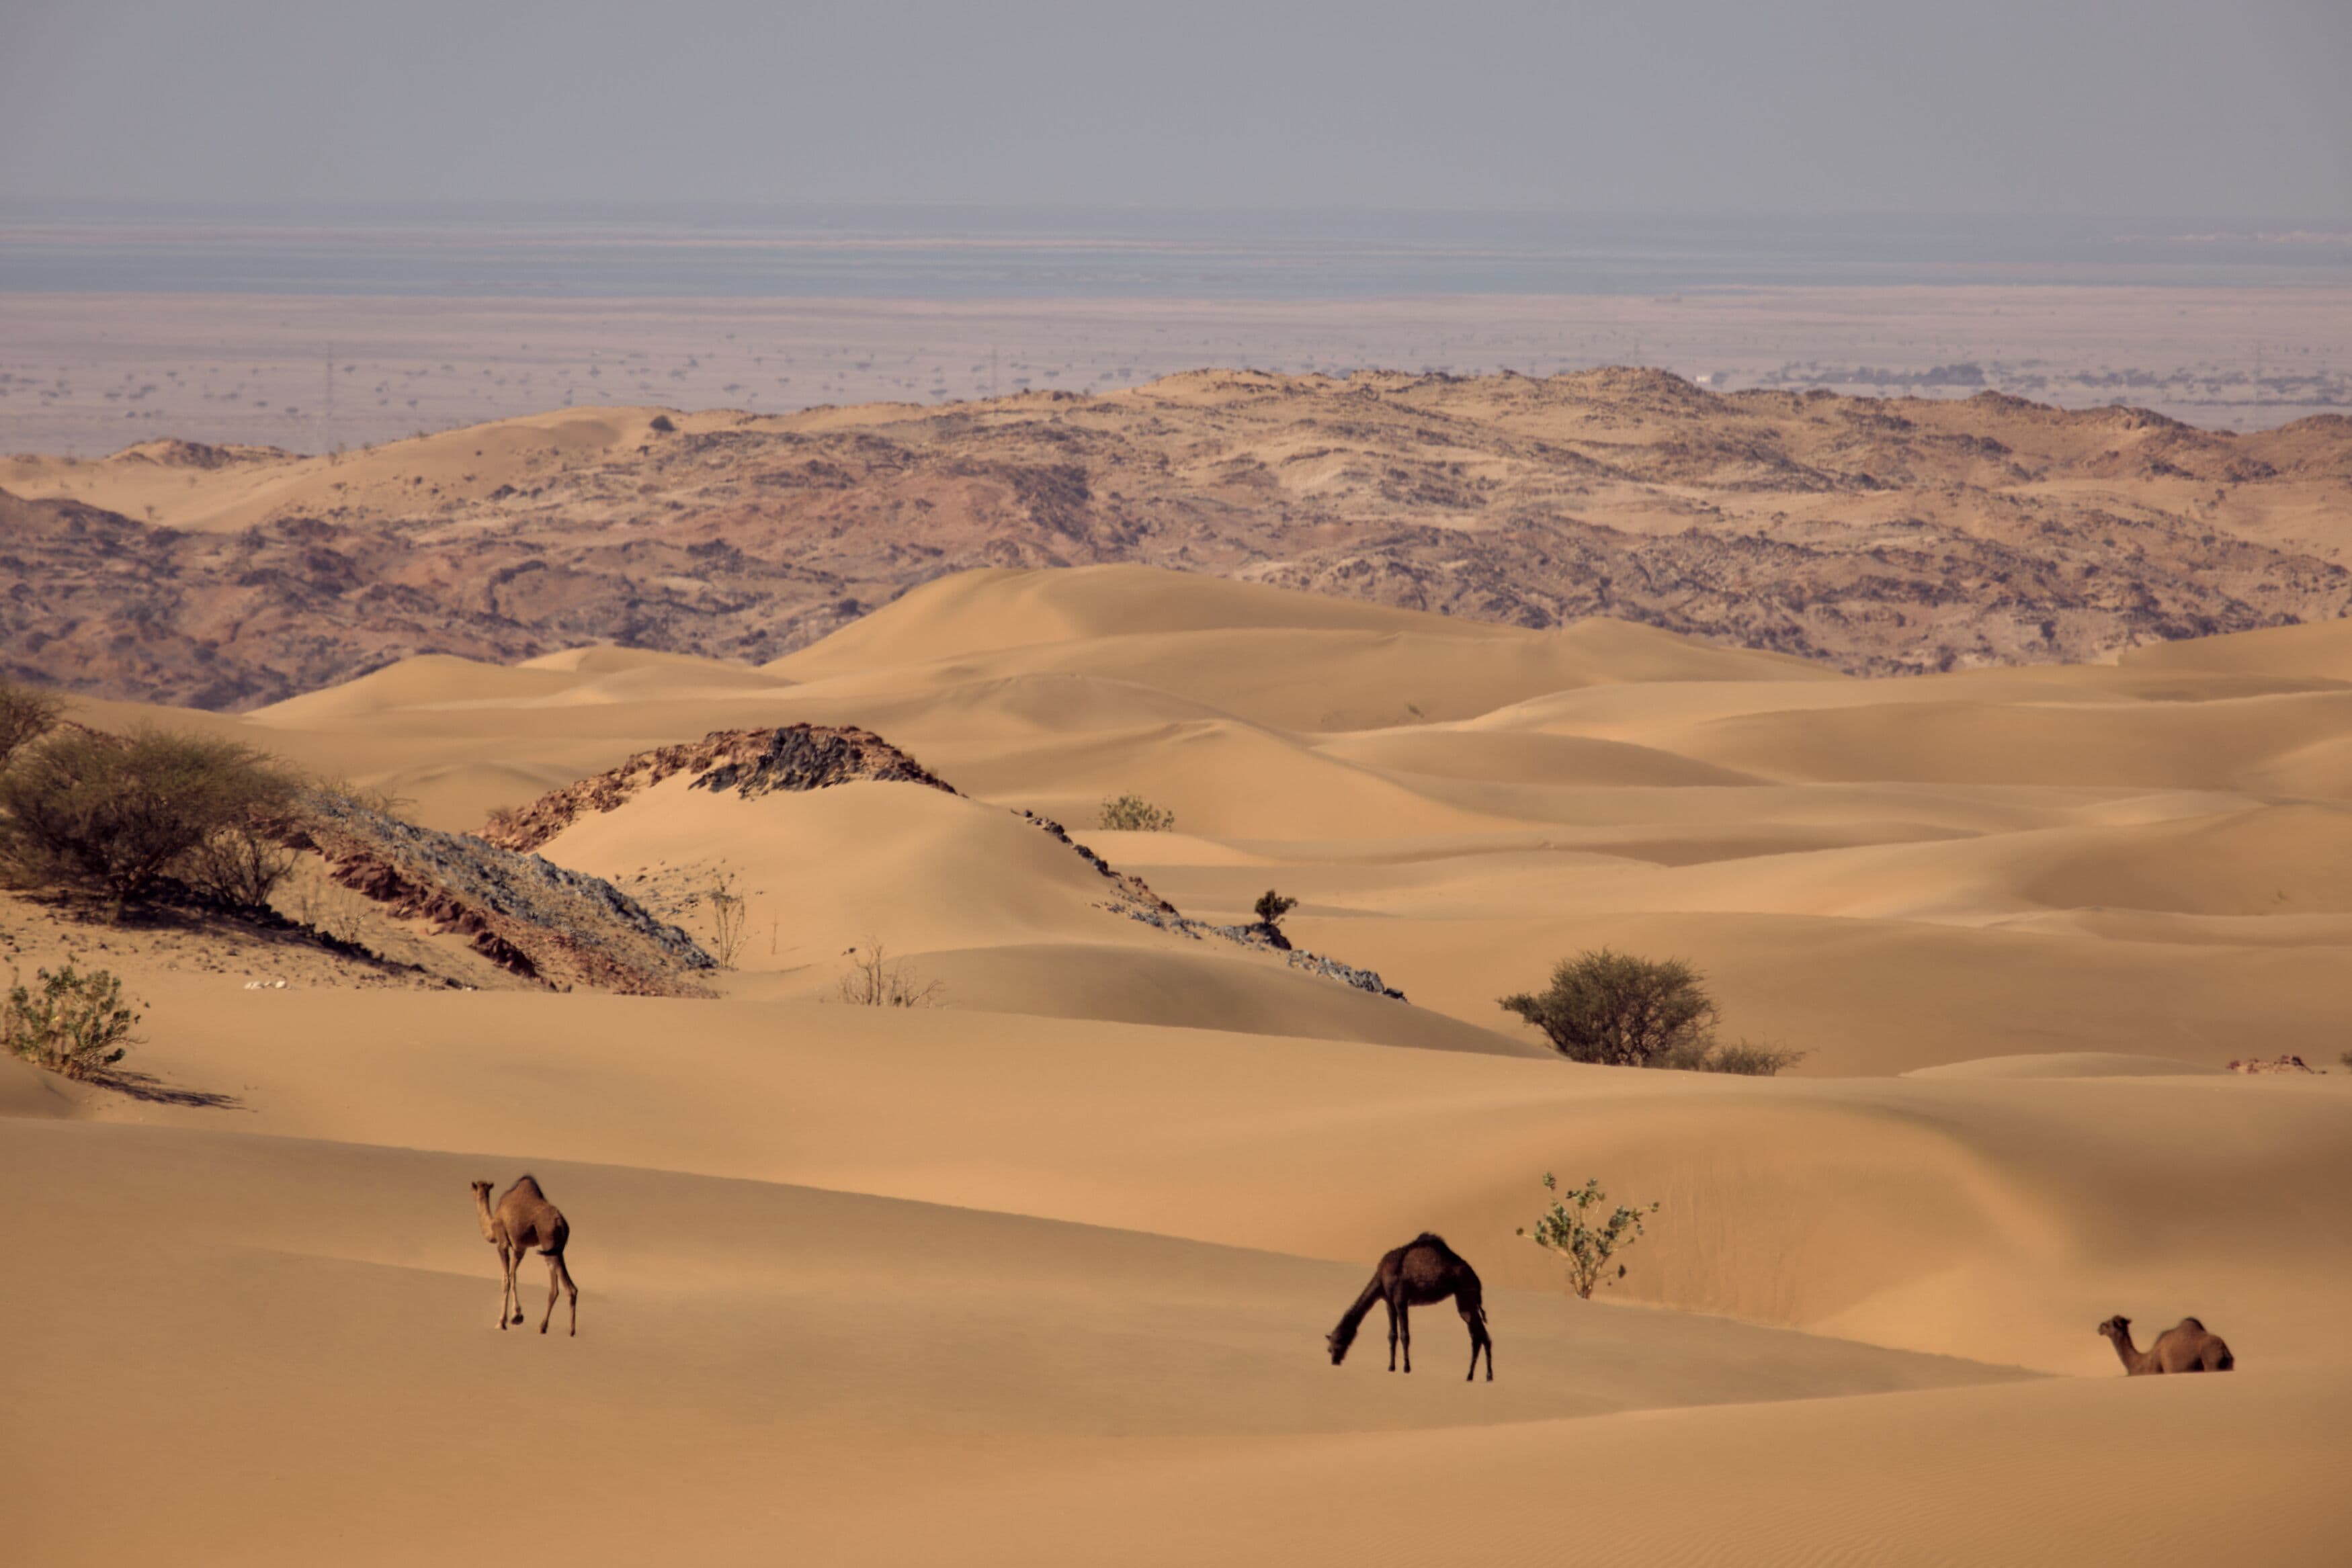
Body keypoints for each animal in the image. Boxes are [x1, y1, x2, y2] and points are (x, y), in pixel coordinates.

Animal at [471, 1175, 579, 1336]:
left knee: (567, 1287)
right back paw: (544, 1327)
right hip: (555, 1249)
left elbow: (506, 1279)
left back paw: (569, 1331)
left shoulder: (502, 1242)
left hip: (548, 1242)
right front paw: (516, 1316)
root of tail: (562, 1223)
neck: (491, 1225)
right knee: (558, 1286)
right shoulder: (520, 1248)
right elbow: (513, 1276)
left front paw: (502, 1322)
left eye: (475, 1187)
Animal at [1327, 1233, 1493, 1382]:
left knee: (1480, 1335)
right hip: (1466, 1300)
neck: (1381, 1278)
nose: (1334, 1360)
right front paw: (1391, 1367)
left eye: (1339, 1341)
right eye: (1330, 1347)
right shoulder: (1389, 1302)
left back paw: (1487, 1376)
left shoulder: (1401, 1299)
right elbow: (1392, 1335)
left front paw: (1407, 1368)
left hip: (1465, 1295)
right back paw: (1472, 1376)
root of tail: (1477, 1279)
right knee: (1478, 1336)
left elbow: (1405, 1335)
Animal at [2097, 1314, 2232, 1375]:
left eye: (2110, 1324)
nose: (2100, 1328)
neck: (2142, 1363)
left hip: (2212, 1362)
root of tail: (2225, 1351)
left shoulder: (2156, 1371)